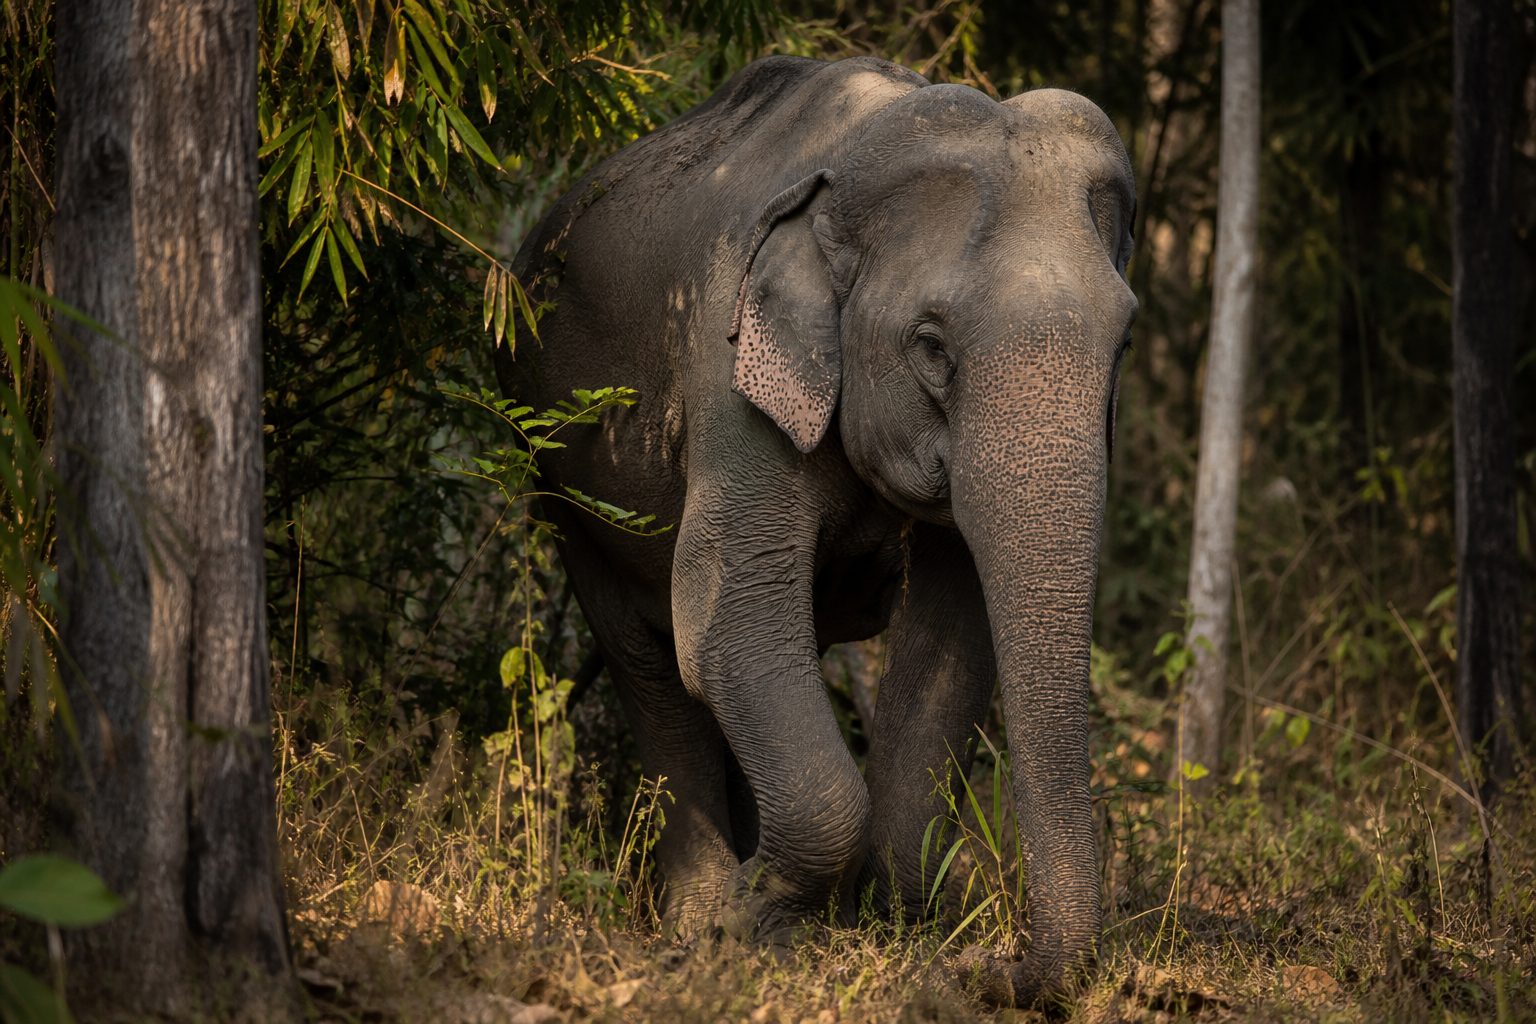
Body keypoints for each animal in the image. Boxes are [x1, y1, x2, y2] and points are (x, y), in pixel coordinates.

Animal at [496, 55, 1137, 1006]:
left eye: (1124, 344)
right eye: (931, 345)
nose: (985, 967)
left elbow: (951, 638)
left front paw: (893, 911)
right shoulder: (724, 364)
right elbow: (727, 618)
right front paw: (749, 925)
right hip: (559, 473)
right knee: (650, 661)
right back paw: (698, 918)